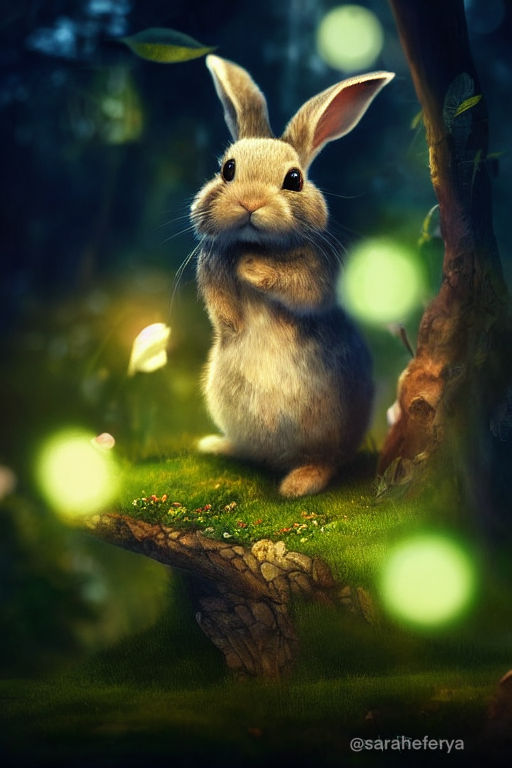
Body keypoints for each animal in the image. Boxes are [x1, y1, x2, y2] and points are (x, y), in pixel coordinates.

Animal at [190, 55, 394, 498]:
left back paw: (298, 483)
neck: (256, 243)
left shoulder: (317, 275)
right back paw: (216, 445)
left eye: (294, 179)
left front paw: (251, 269)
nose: (250, 202)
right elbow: (221, 306)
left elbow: (302, 291)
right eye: (227, 169)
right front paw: (234, 322)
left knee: (325, 460)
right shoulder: (211, 272)